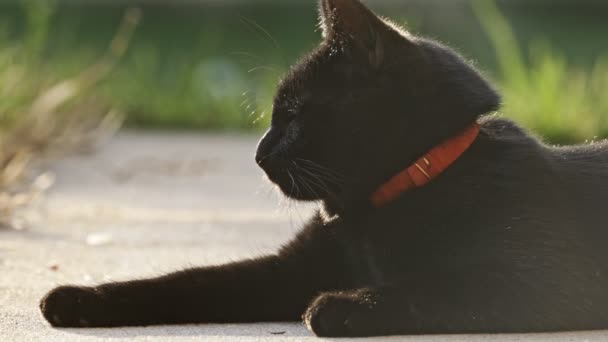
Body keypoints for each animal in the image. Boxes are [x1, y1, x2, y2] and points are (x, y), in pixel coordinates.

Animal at [40, 0, 608, 336]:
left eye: (292, 115)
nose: (258, 153)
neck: (371, 217)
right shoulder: (288, 269)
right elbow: (186, 282)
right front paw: (78, 298)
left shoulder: (540, 279)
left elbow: (436, 287)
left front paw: (342, 305)